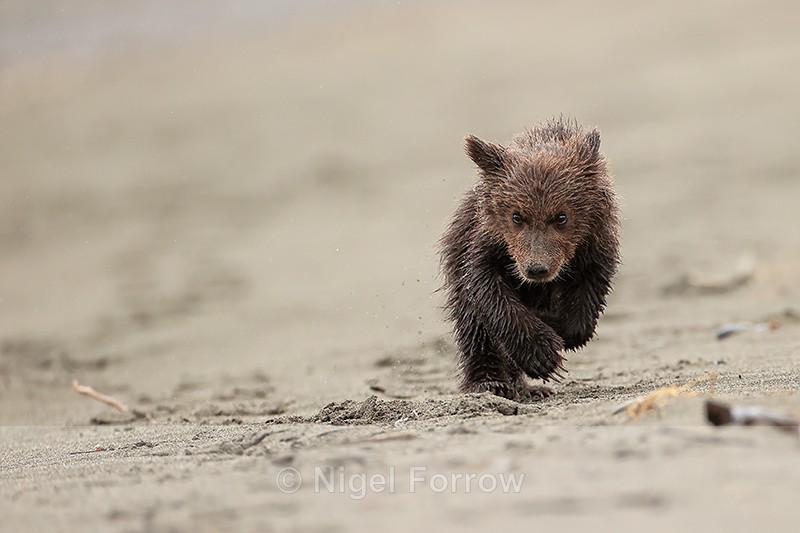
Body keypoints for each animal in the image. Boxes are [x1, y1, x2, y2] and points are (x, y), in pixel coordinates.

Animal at [439, 117, 620, 401]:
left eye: (561, 216)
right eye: (516, 215)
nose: (536, 268)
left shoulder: (594, 242)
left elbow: (590, 290)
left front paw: (560, 329)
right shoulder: (487, 244)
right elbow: (487, 290)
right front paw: (543, 354)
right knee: (475, 328)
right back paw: (491, 383)